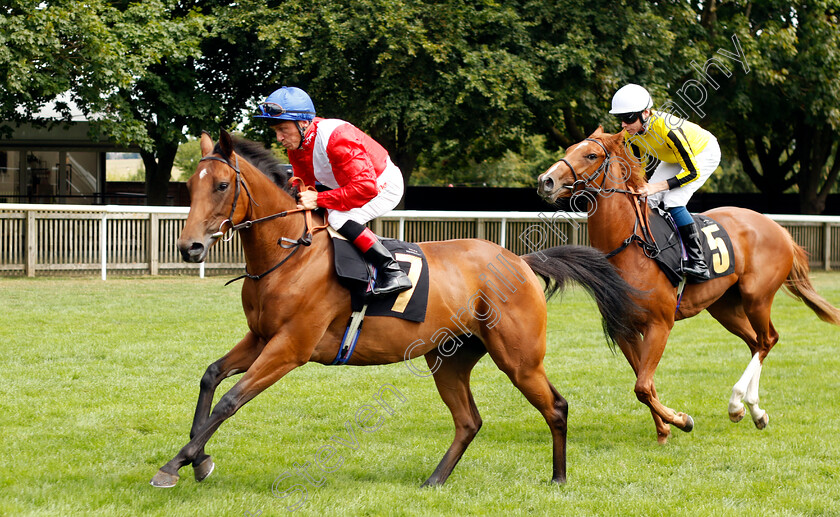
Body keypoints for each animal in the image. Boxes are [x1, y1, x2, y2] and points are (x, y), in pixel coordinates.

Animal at [149, 131, 644, 486]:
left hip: (519, 358)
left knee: (556, 406)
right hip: (449, 358)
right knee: (469, 421)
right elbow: (211, 377)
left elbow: (230, 399)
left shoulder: (291, 346)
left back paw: (559, 478)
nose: (190, 248)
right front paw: (198, 458)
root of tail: (520, 261)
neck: (288, 255)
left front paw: (176, 465)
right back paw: (435, 481)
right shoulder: (261, 337)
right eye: (190, 186)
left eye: (221, 185)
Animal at [540, 126, 840, 444]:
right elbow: (645, 384)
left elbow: (642, 386)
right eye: (570, 148)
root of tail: (779, 229)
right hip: (725, 307)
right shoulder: (625, 329)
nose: (546, 180)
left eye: (591, 154)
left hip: (757, 297)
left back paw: (738, 403)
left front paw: (681, 420)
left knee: (767, 339)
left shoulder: (660, 324)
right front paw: (664, 430)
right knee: (755, 342)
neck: (629, 245)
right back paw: (753, 411)